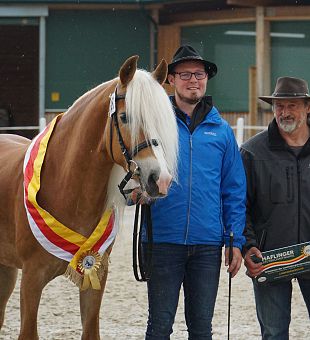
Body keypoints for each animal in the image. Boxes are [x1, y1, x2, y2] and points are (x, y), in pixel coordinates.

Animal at [0, 55, 178, 338]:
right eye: (125, 117)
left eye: (161, 121)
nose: (159, 180)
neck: (64, 184)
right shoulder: (31, 279)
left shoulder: (96, 275)